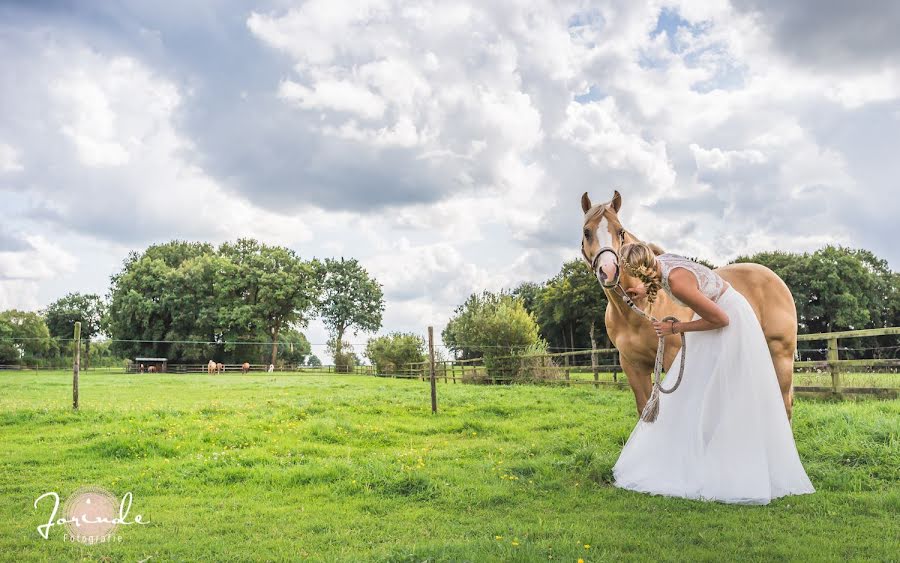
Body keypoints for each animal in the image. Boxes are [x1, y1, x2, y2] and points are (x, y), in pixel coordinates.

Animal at [580, 192, 800, 420]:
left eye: (620, 231)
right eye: (587, 232)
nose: (608, 271)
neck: (637, 313)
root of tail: (776, 279)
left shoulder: (671, 358)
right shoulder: (632, 366)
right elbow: (643, 409)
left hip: (780, 354)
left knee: (785, 403)